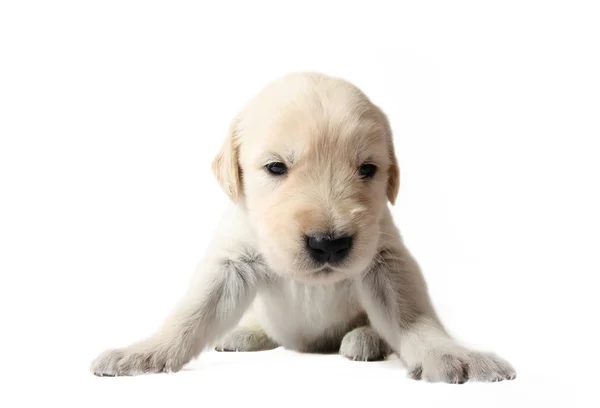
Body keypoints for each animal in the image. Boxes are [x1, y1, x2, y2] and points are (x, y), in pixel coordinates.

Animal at [90, 71, 516, 382]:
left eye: (367, 169)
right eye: (276, 167)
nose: (329, 244)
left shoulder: (385, 255)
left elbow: (412, 313)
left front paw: (450, 353)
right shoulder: (233, 259)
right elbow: (192, 312)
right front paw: (145, 352)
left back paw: (365, 338)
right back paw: (245, 332)